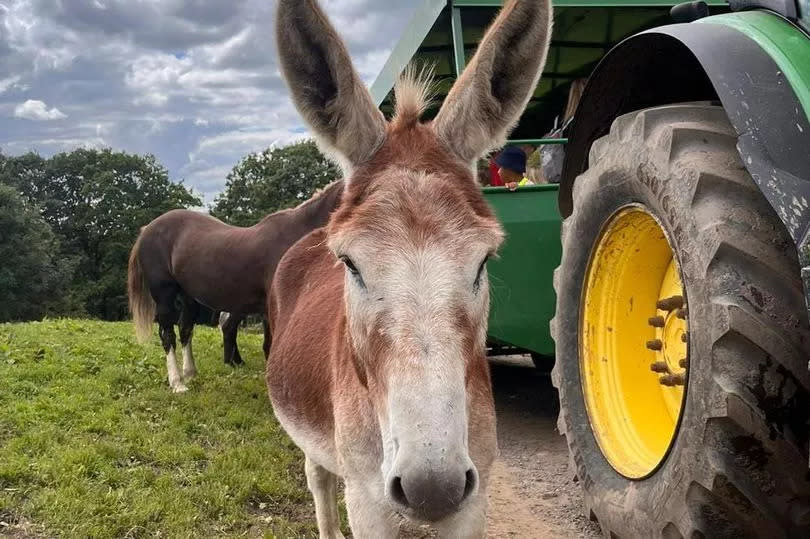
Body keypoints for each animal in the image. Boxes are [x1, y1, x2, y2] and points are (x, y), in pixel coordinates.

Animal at [128, 179, 342, 394]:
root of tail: (147, 229)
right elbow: (271, 346)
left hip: (189, 297)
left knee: (185, 329)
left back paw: (190, 373)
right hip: (164, 295)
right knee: (168, 334)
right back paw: (177, 383)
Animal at [268, 0, 552, 536]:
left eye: (483, 261)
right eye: (350, 264)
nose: (431, 488)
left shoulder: (474, 495)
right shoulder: (367, 498)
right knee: (319, 483)